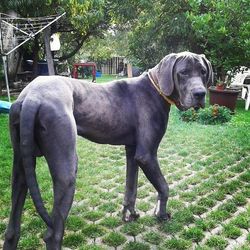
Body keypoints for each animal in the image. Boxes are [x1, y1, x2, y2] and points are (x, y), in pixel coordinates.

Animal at [3, 51, 212, 249]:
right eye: (183, 72)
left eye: (203, 72)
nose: (200, 94)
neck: (156, 88)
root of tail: (32, 98)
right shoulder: (146, 155)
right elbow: (164, 186)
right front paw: (161, 214)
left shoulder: (132, 151)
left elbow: (131, 187)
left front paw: (130, 214)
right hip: (66, 172)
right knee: (53, 235)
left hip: (21, 170)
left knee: (12, 230)